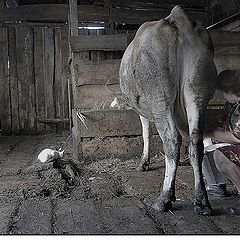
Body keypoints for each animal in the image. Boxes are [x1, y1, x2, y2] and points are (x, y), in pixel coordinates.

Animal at [119, 6, 217, 216]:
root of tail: (177, 18)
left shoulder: (144, 109)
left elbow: (146, 133)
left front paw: (143, 163)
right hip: (197, 92)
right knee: (196, 141)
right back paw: (202, 201)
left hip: (159, 96)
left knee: (171, 139)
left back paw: (164, 199)